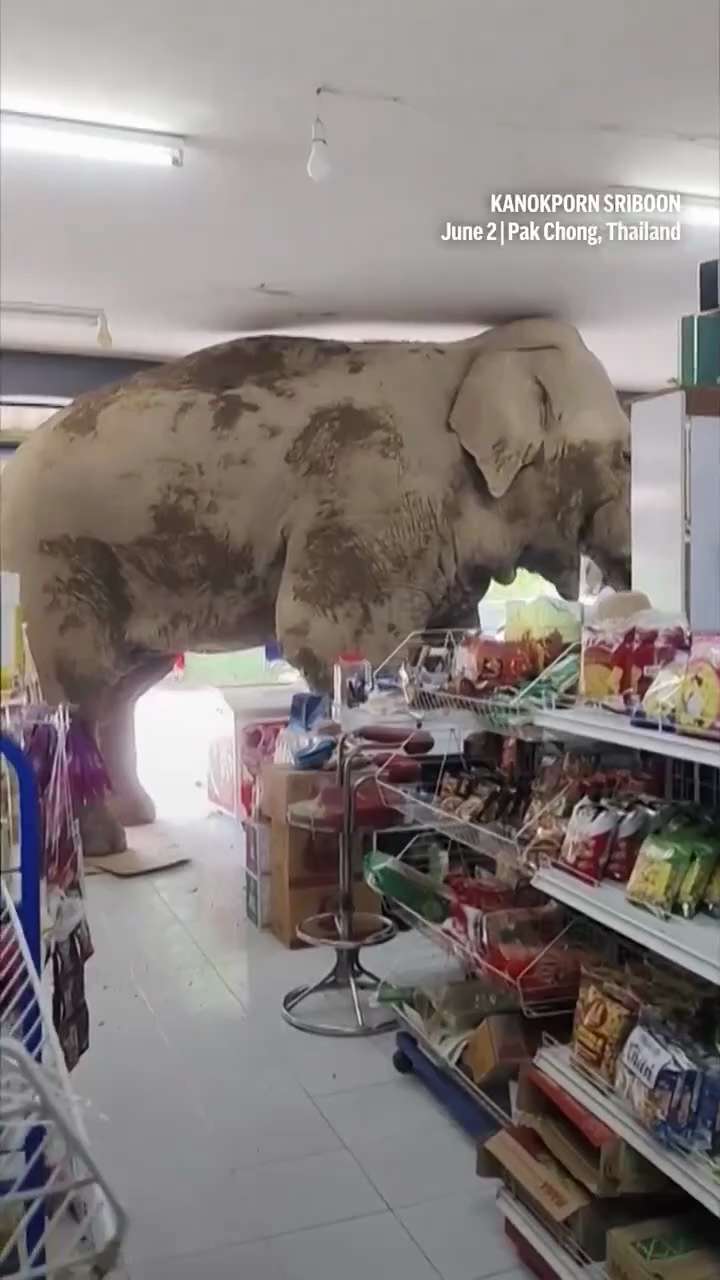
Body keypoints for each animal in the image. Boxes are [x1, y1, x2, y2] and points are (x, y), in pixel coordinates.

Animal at [0, 318, 630, 855]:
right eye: (626, 456)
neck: (473, 351)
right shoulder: (375, 495)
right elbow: (324, 636)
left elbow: (445, 641)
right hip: (61, 560)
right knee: (81, 687)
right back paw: (102, 845)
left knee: (125, 686)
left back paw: (135, 816)